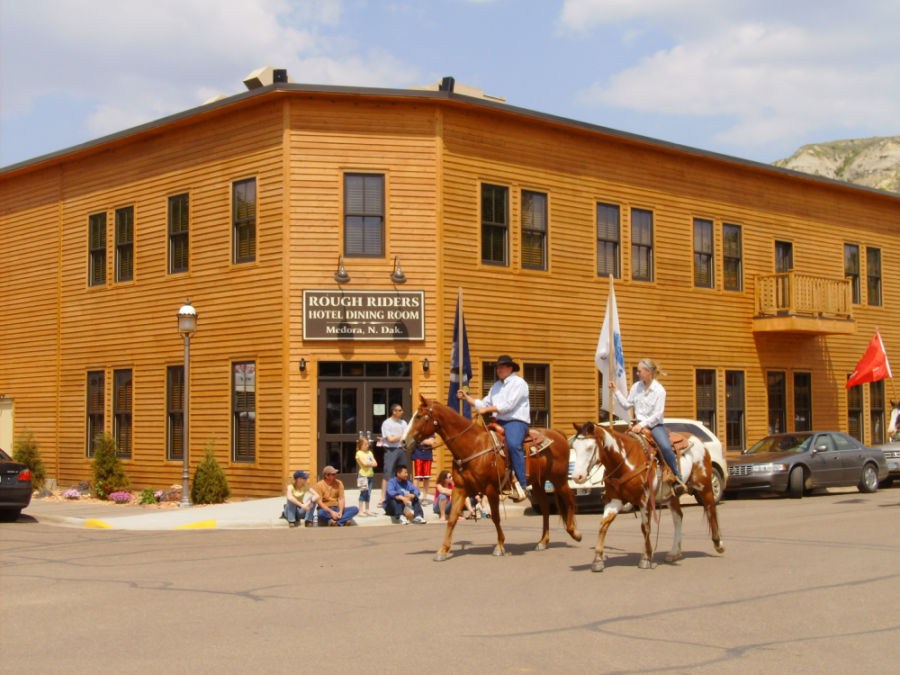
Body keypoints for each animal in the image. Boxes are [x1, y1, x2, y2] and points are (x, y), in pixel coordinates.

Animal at [402, 398, 584, 564]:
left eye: (419, 416)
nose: (403, 441)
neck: (473, 446)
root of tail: (557, 433)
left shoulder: (490, 489)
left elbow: (496, 517)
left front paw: (499, 546)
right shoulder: (460, 489)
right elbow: (452, 518)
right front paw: (443, 550)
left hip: (559, 479)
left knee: (569, 498)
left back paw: (574, 533)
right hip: (539, 482)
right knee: (546, 506)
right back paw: (543, 541)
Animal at [572, 426, 728, 572]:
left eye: (589, 448)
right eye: (575, 447)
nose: (577, 476)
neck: (624, 461)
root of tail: (699, 441)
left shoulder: (645, 500)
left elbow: (645, 527)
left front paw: (646, 558)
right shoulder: (614, 500)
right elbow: (604, 525)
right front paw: (598, 559)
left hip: (704, 485)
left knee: (711, 509)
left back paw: (718, 544)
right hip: (672, 495)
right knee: (678, 517)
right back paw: (674, 552)